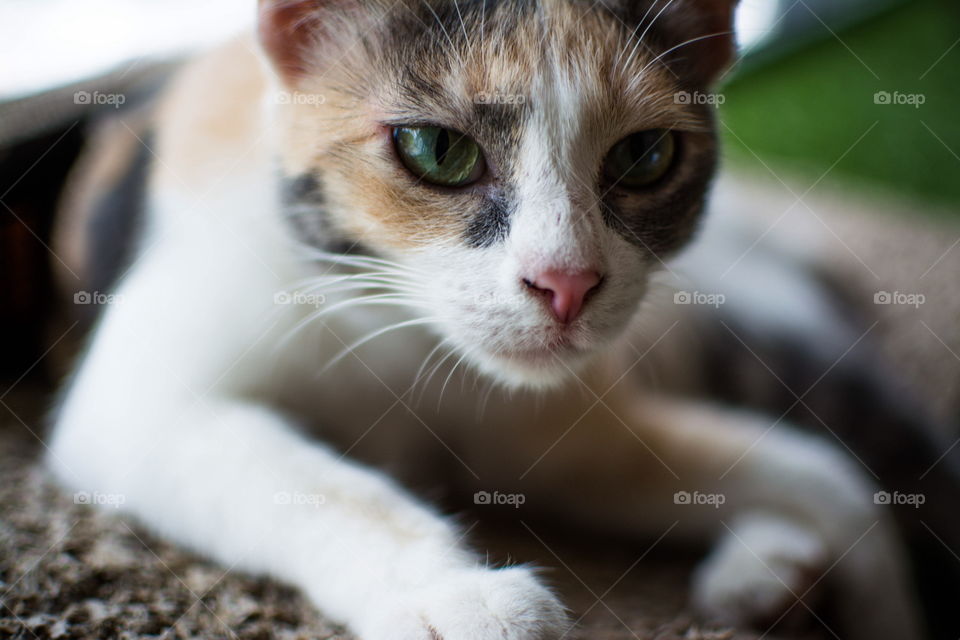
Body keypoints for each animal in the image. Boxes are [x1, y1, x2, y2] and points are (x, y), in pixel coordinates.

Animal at [41, 1, 948, 640]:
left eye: (645, 156)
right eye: (437, 151)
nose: (567, 282)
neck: (398, 335)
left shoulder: (539, 435)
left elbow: (822, 477)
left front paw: (887, 613)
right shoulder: (142, 402)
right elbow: (320, 484)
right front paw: (450, 592)